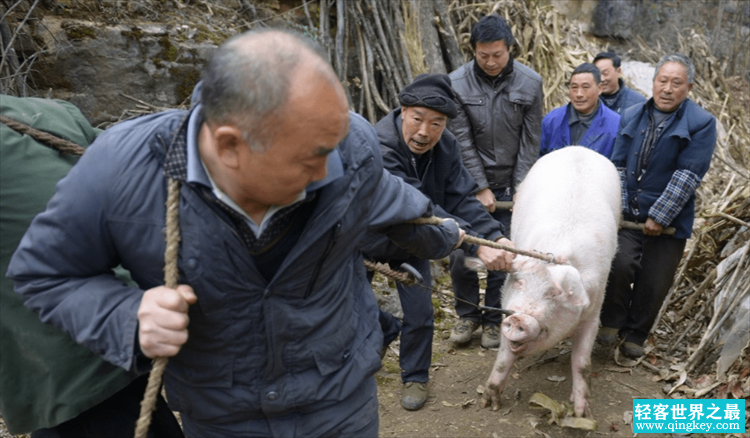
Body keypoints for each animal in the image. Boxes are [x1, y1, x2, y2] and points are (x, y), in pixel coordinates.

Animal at [482, 146, 624, 418]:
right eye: (520, 283)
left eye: (554, 293)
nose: (519, 318)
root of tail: (579, 148)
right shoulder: (506, 307)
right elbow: (504, 355)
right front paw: (489, 403)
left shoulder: (594, 312)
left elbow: (582, 364)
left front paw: (581, 414)